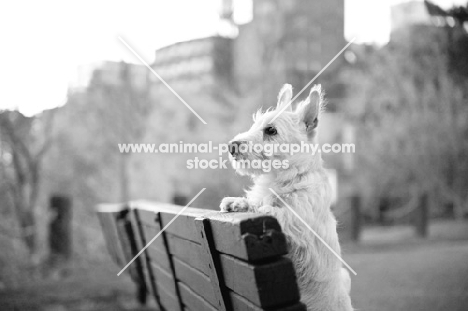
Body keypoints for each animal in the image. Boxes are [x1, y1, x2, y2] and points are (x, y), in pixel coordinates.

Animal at [221, 84, 352, 311]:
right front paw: (237, 203)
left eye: (270, 130)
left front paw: (264, 208)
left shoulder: (301, 226)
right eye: (255, 124)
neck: (281, 178)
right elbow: (255, 202)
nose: (231, 146)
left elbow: (280, 212)